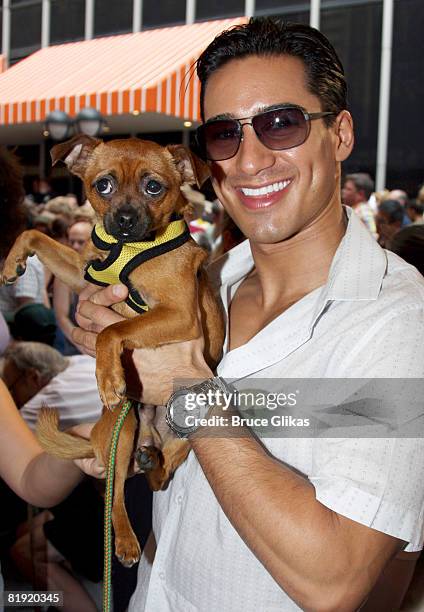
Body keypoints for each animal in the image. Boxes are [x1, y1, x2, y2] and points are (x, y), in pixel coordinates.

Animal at [0, 136, 225, 568]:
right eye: (102, 185)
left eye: (153, 187)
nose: (122, 219)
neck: (128, 250)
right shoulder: (83, 274)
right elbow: (36, 236)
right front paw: (12, 260)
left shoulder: (179, 314)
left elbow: (113, 330)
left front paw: (108, 377)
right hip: (126, 432)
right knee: (116, 492)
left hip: (184, 437)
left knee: (152, 482)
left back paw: (139, 501)